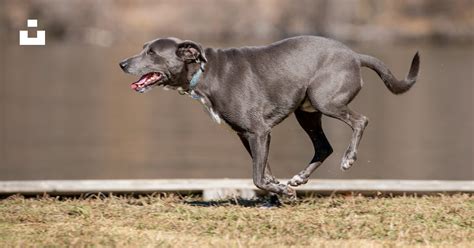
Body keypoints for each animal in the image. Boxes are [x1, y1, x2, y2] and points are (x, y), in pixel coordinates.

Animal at [119, 35, 418, 198]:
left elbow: (257, 178)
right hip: (306, 112)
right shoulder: (247, 135)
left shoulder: (258, 132)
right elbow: (265, 171)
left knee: (360, 121)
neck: (203, 72)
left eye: (152, 52)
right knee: (323, 146)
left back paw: (348, 159)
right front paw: (281, 190)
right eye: (144, 48)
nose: (122, 63)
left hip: (325, 100)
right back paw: (299, 178)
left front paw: (283, 192)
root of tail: (355, 55)